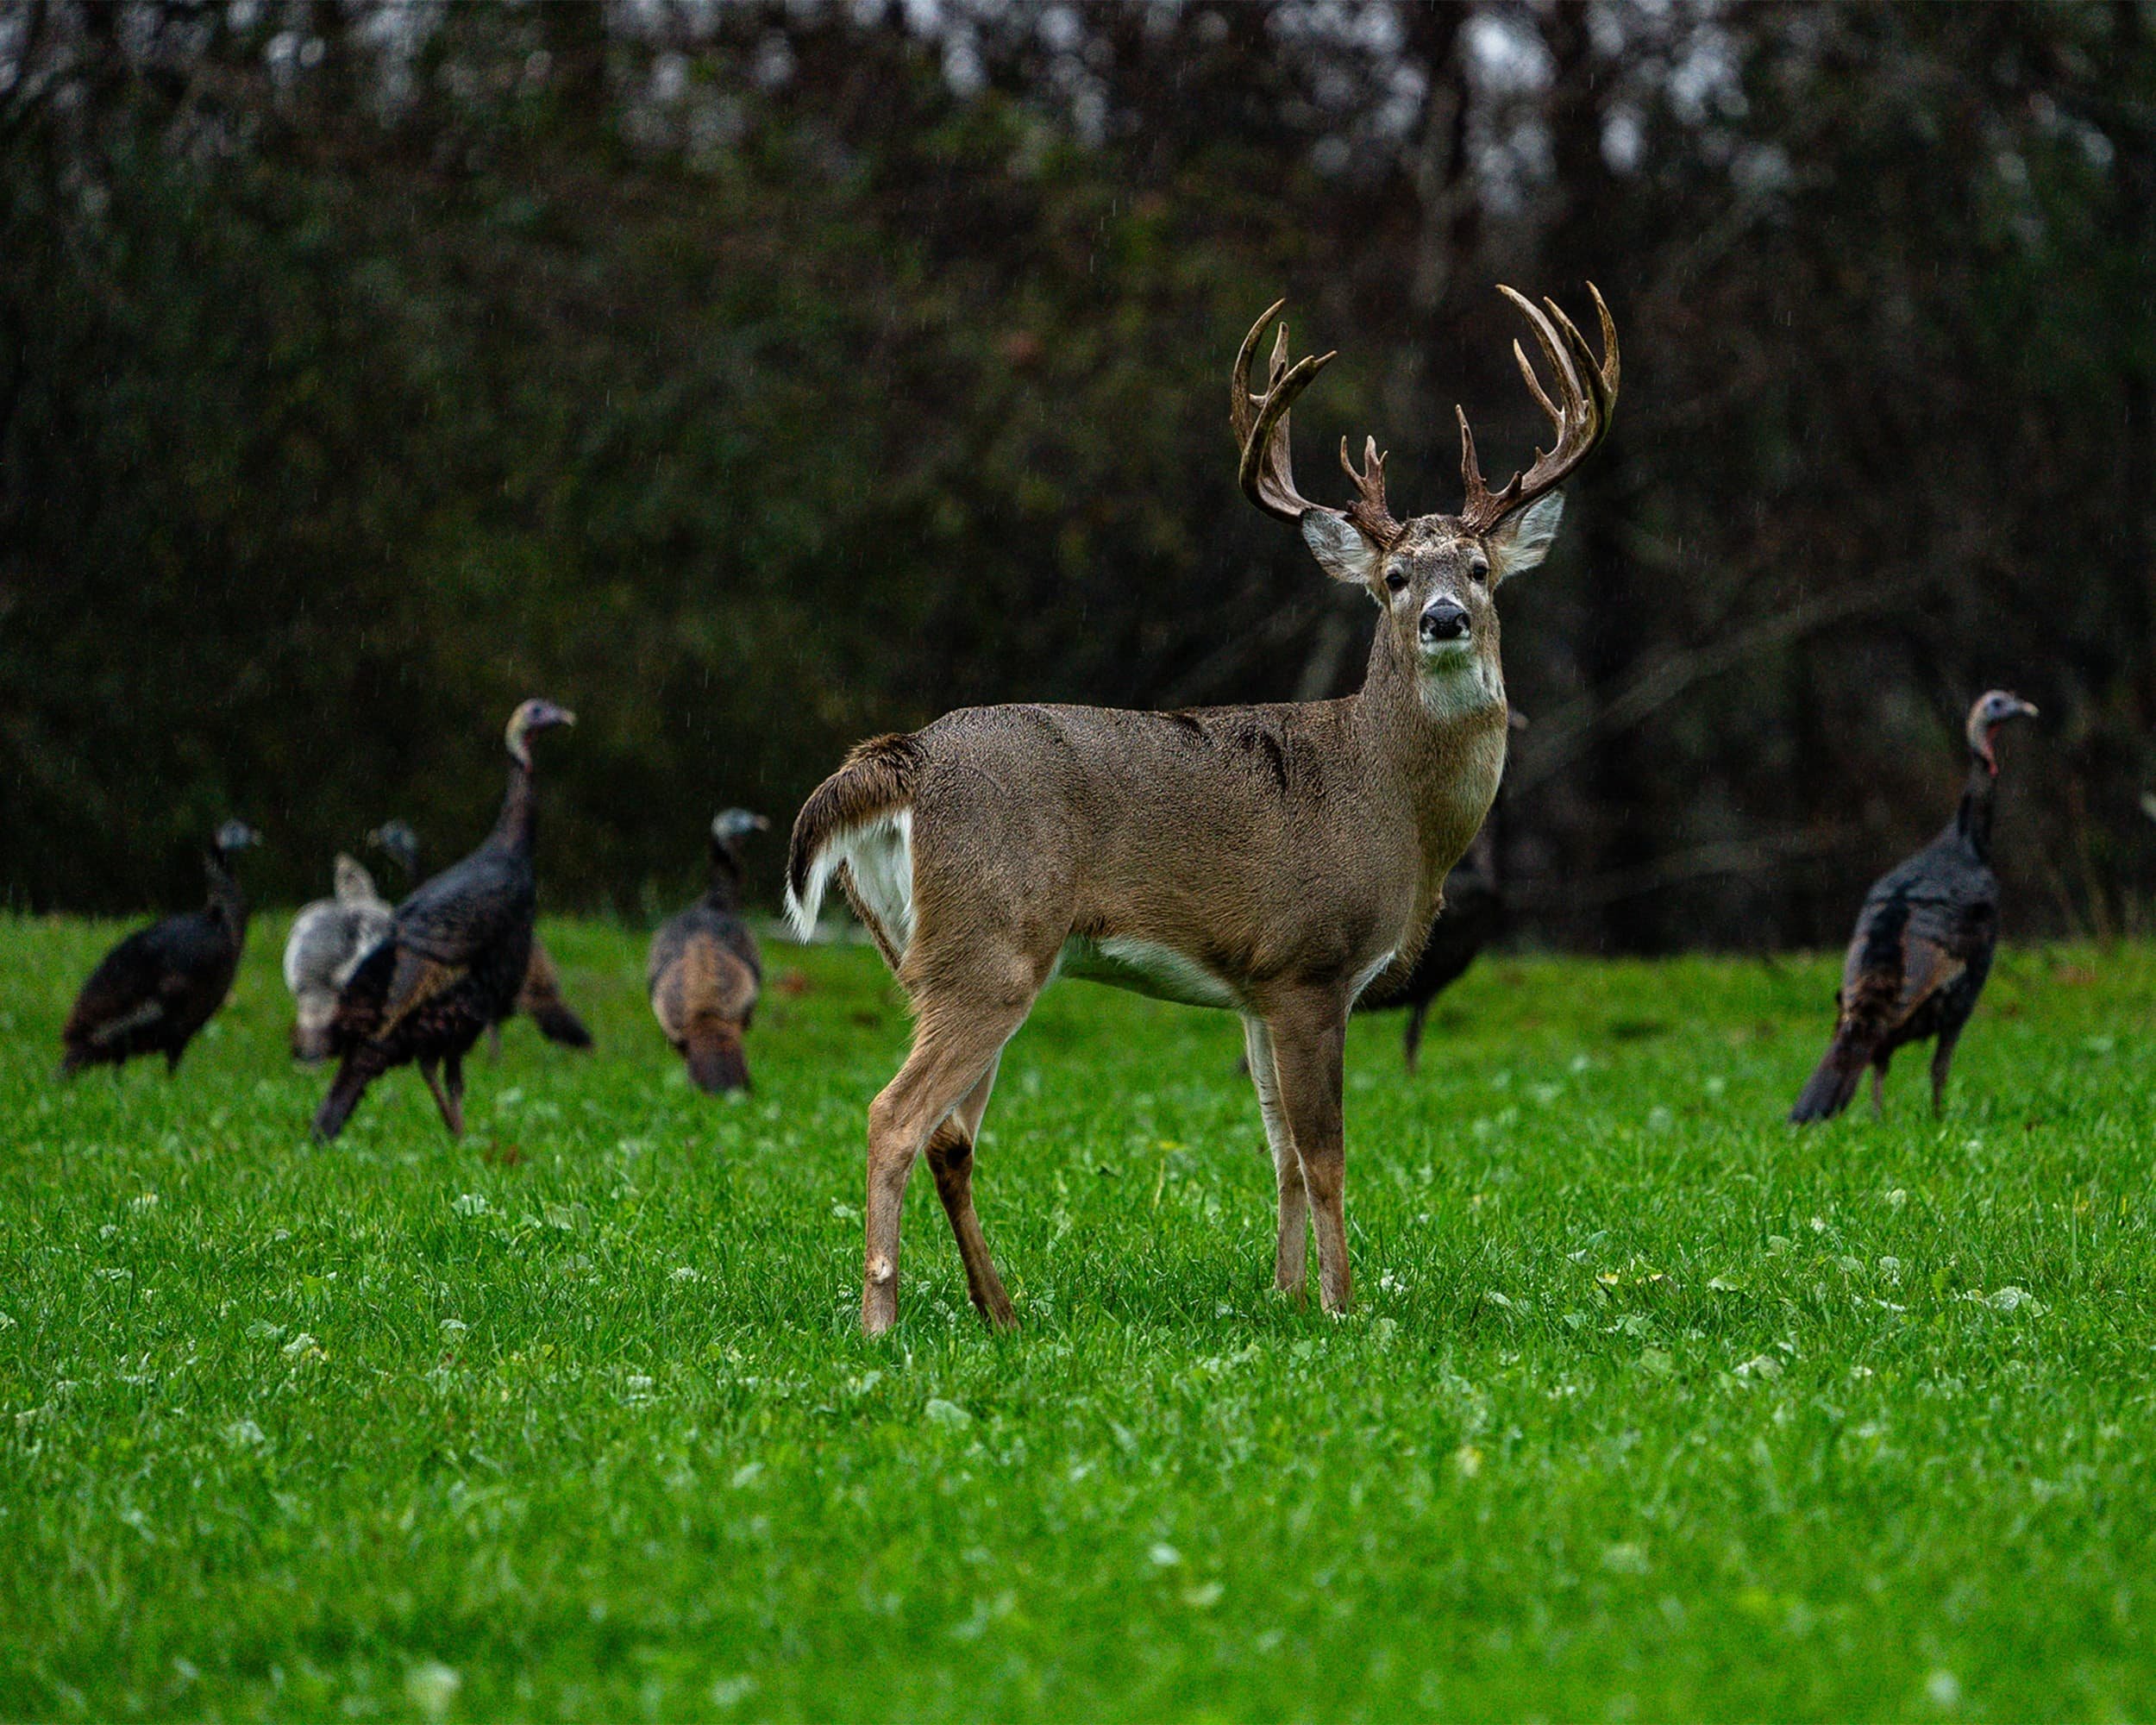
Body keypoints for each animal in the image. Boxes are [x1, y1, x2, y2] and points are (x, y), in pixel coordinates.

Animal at [786, 285, 1619, 1335]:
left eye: (1478, 569)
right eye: (1394, 578)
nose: (1442, 619)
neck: (1391, 798)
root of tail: (903, 761)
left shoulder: (1258, 987)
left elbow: (1281, 1156)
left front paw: (1286, 1294)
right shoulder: (1312, 963)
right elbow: (1325, 1154)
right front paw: (1344, 1306)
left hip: (919, 954)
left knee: (948, 1135)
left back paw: (1001, 1312)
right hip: (990, 946)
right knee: (892, 1116)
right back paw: (881, 1319)